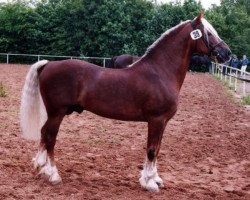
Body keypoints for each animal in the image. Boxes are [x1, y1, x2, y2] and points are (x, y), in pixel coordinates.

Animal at [20, 13, 230, 192]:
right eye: (208, 33)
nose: (227, 54)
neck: (160, 72)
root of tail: (49, 64)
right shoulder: (156, 120)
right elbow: (152, 150)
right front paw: (149, 183)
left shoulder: (162, 122)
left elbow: (157, 148)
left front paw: (155, 179)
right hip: (57, 113)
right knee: (50, 138)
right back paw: (53, 175)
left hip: (55, 113)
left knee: (44, 134)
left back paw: (40, 167)